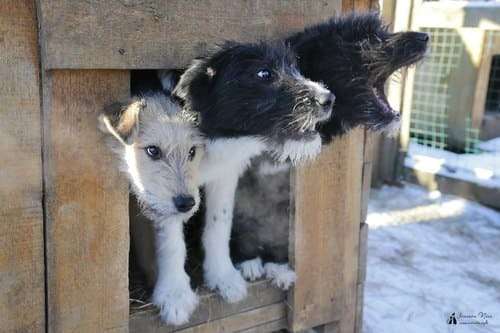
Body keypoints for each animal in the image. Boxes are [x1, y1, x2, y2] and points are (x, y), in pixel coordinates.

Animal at [169, 41, 336, 300]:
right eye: (264, 73)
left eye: (295, 67)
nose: (329, 98)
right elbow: (173, 242)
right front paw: (176, 293)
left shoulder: (228, 178)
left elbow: (220, 225)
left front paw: (227, 275)